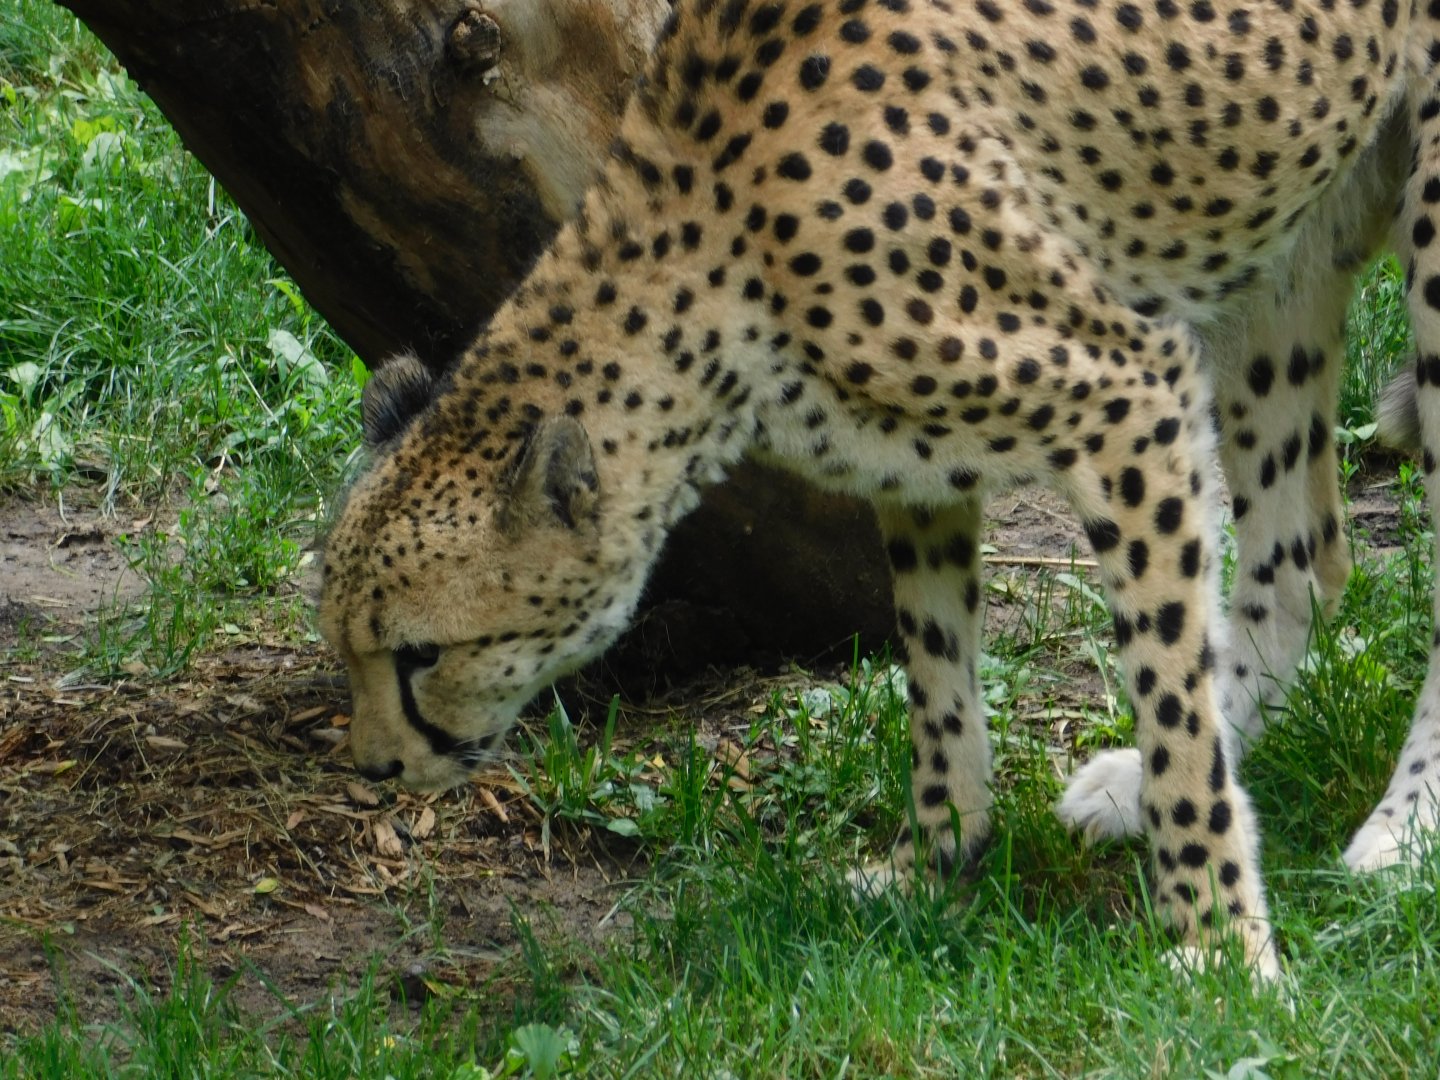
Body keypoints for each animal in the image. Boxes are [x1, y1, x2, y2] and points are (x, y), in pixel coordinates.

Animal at [319, 0, 1440, 976]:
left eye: (420, 655)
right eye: (347, 648)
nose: (374, 768)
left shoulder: (1132, 392)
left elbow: (1171, 692)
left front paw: (1220, 943)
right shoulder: (916, 464)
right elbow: (937, 673)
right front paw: (931, 864)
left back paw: (1404, 829)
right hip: (1276, 240)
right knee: (1306, 559)